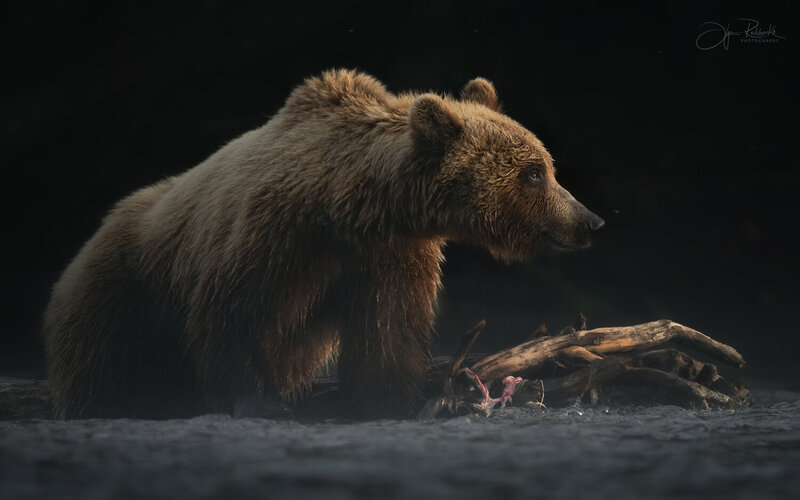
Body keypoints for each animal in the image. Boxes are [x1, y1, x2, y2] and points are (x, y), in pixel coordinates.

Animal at [43, 69, 604, 419]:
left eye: (546, 166)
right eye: (534, 173)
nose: (591, 220)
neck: (346, 208)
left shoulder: (387, 255)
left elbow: (386, 331)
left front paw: (384, 400)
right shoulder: (273, 237)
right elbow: (235, 314)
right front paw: (260, 400)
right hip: (124, 291)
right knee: (104, 368)